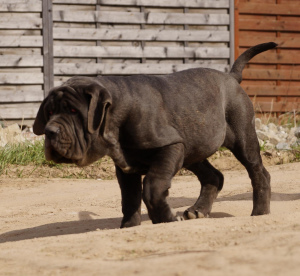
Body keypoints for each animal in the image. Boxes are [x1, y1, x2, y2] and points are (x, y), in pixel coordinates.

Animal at [33, 42, 276, 227]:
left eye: (74, 111)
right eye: (50, 112)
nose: (50, 131)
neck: (117, 115)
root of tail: (231, 77)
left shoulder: (170, 147)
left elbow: (153, 185)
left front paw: (164, 219)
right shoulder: (126, 168)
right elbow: (129, 199)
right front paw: (129, 226)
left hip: (241, 138)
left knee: (259, 172)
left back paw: (260, 211)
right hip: (193, 149)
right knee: (214, 176)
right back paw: (198, 210)